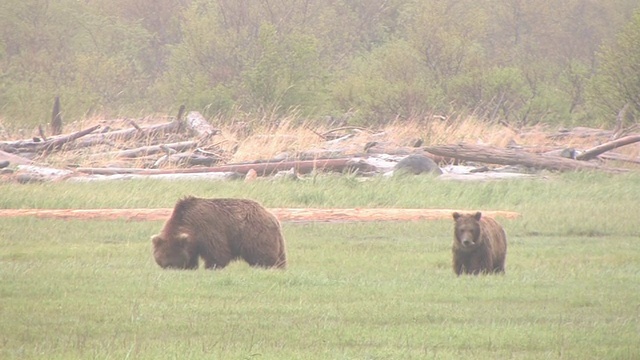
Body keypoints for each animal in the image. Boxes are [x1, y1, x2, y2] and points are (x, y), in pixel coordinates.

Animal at [151, 197, 286, 270]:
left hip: (254, 234)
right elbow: (192, 257)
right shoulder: (192, 244)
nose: (169, 267)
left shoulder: (208, 229)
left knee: (263, 256)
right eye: (161, 258)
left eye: (172, 258)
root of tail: (271, 216)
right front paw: (191, 266)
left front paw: (211, 267)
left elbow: (218, 253)